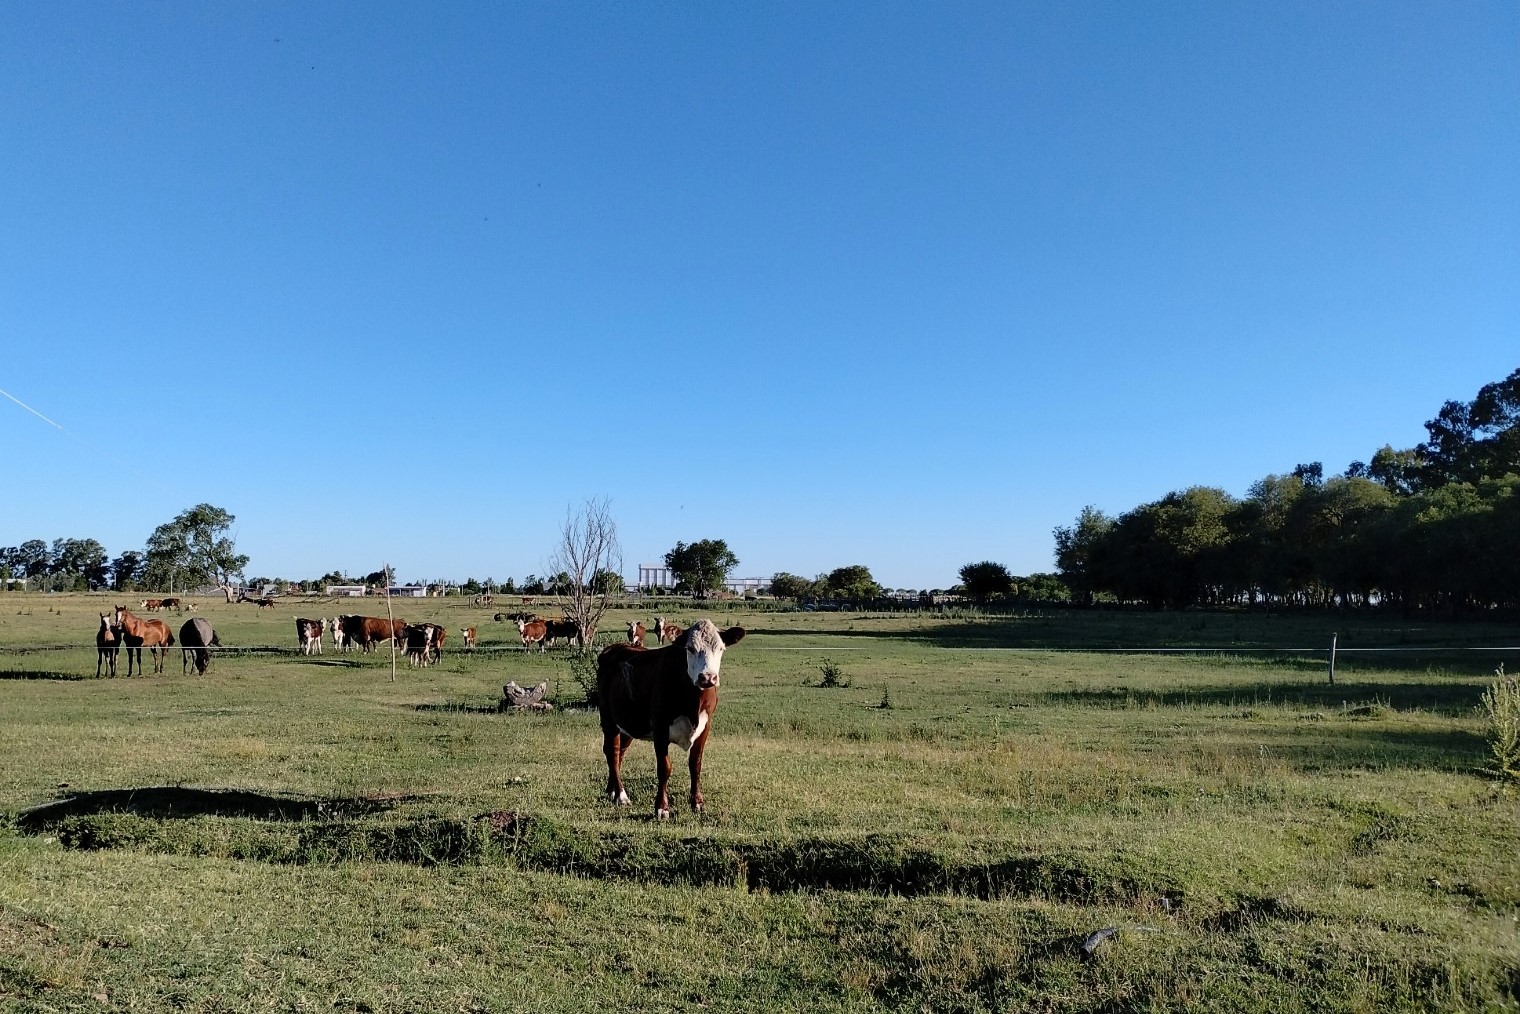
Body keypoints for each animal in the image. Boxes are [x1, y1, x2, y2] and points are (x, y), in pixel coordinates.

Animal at [592, 620, 747, 827]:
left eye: (720, 649)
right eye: (690, 648)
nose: (707, 677)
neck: (693, 702)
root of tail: (613, 648)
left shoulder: (706, 726)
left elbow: (695, 763)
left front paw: (697, 803)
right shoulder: (660, 727)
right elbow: (664, 768)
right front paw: (661, 808)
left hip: (628, 723)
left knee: (619, 753)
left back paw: (611, 790)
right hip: (608, 718)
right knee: (612, 751)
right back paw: (621, 795)